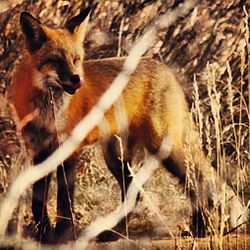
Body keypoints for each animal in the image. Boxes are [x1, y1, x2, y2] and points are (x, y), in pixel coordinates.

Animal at [11, 6, 246, 243]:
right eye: (57, 61)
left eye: (76, 59)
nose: (77, 79)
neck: (47, 108)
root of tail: (164, 69)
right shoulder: (40, 152)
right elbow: (38, 200)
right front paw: (43, 234)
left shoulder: (69, 150)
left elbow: (64, 200)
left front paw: (63, 234)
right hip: (116, 156)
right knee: (135, 194)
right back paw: (118, 232)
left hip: (163, 149)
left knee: (195, 182)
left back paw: (201, 228)